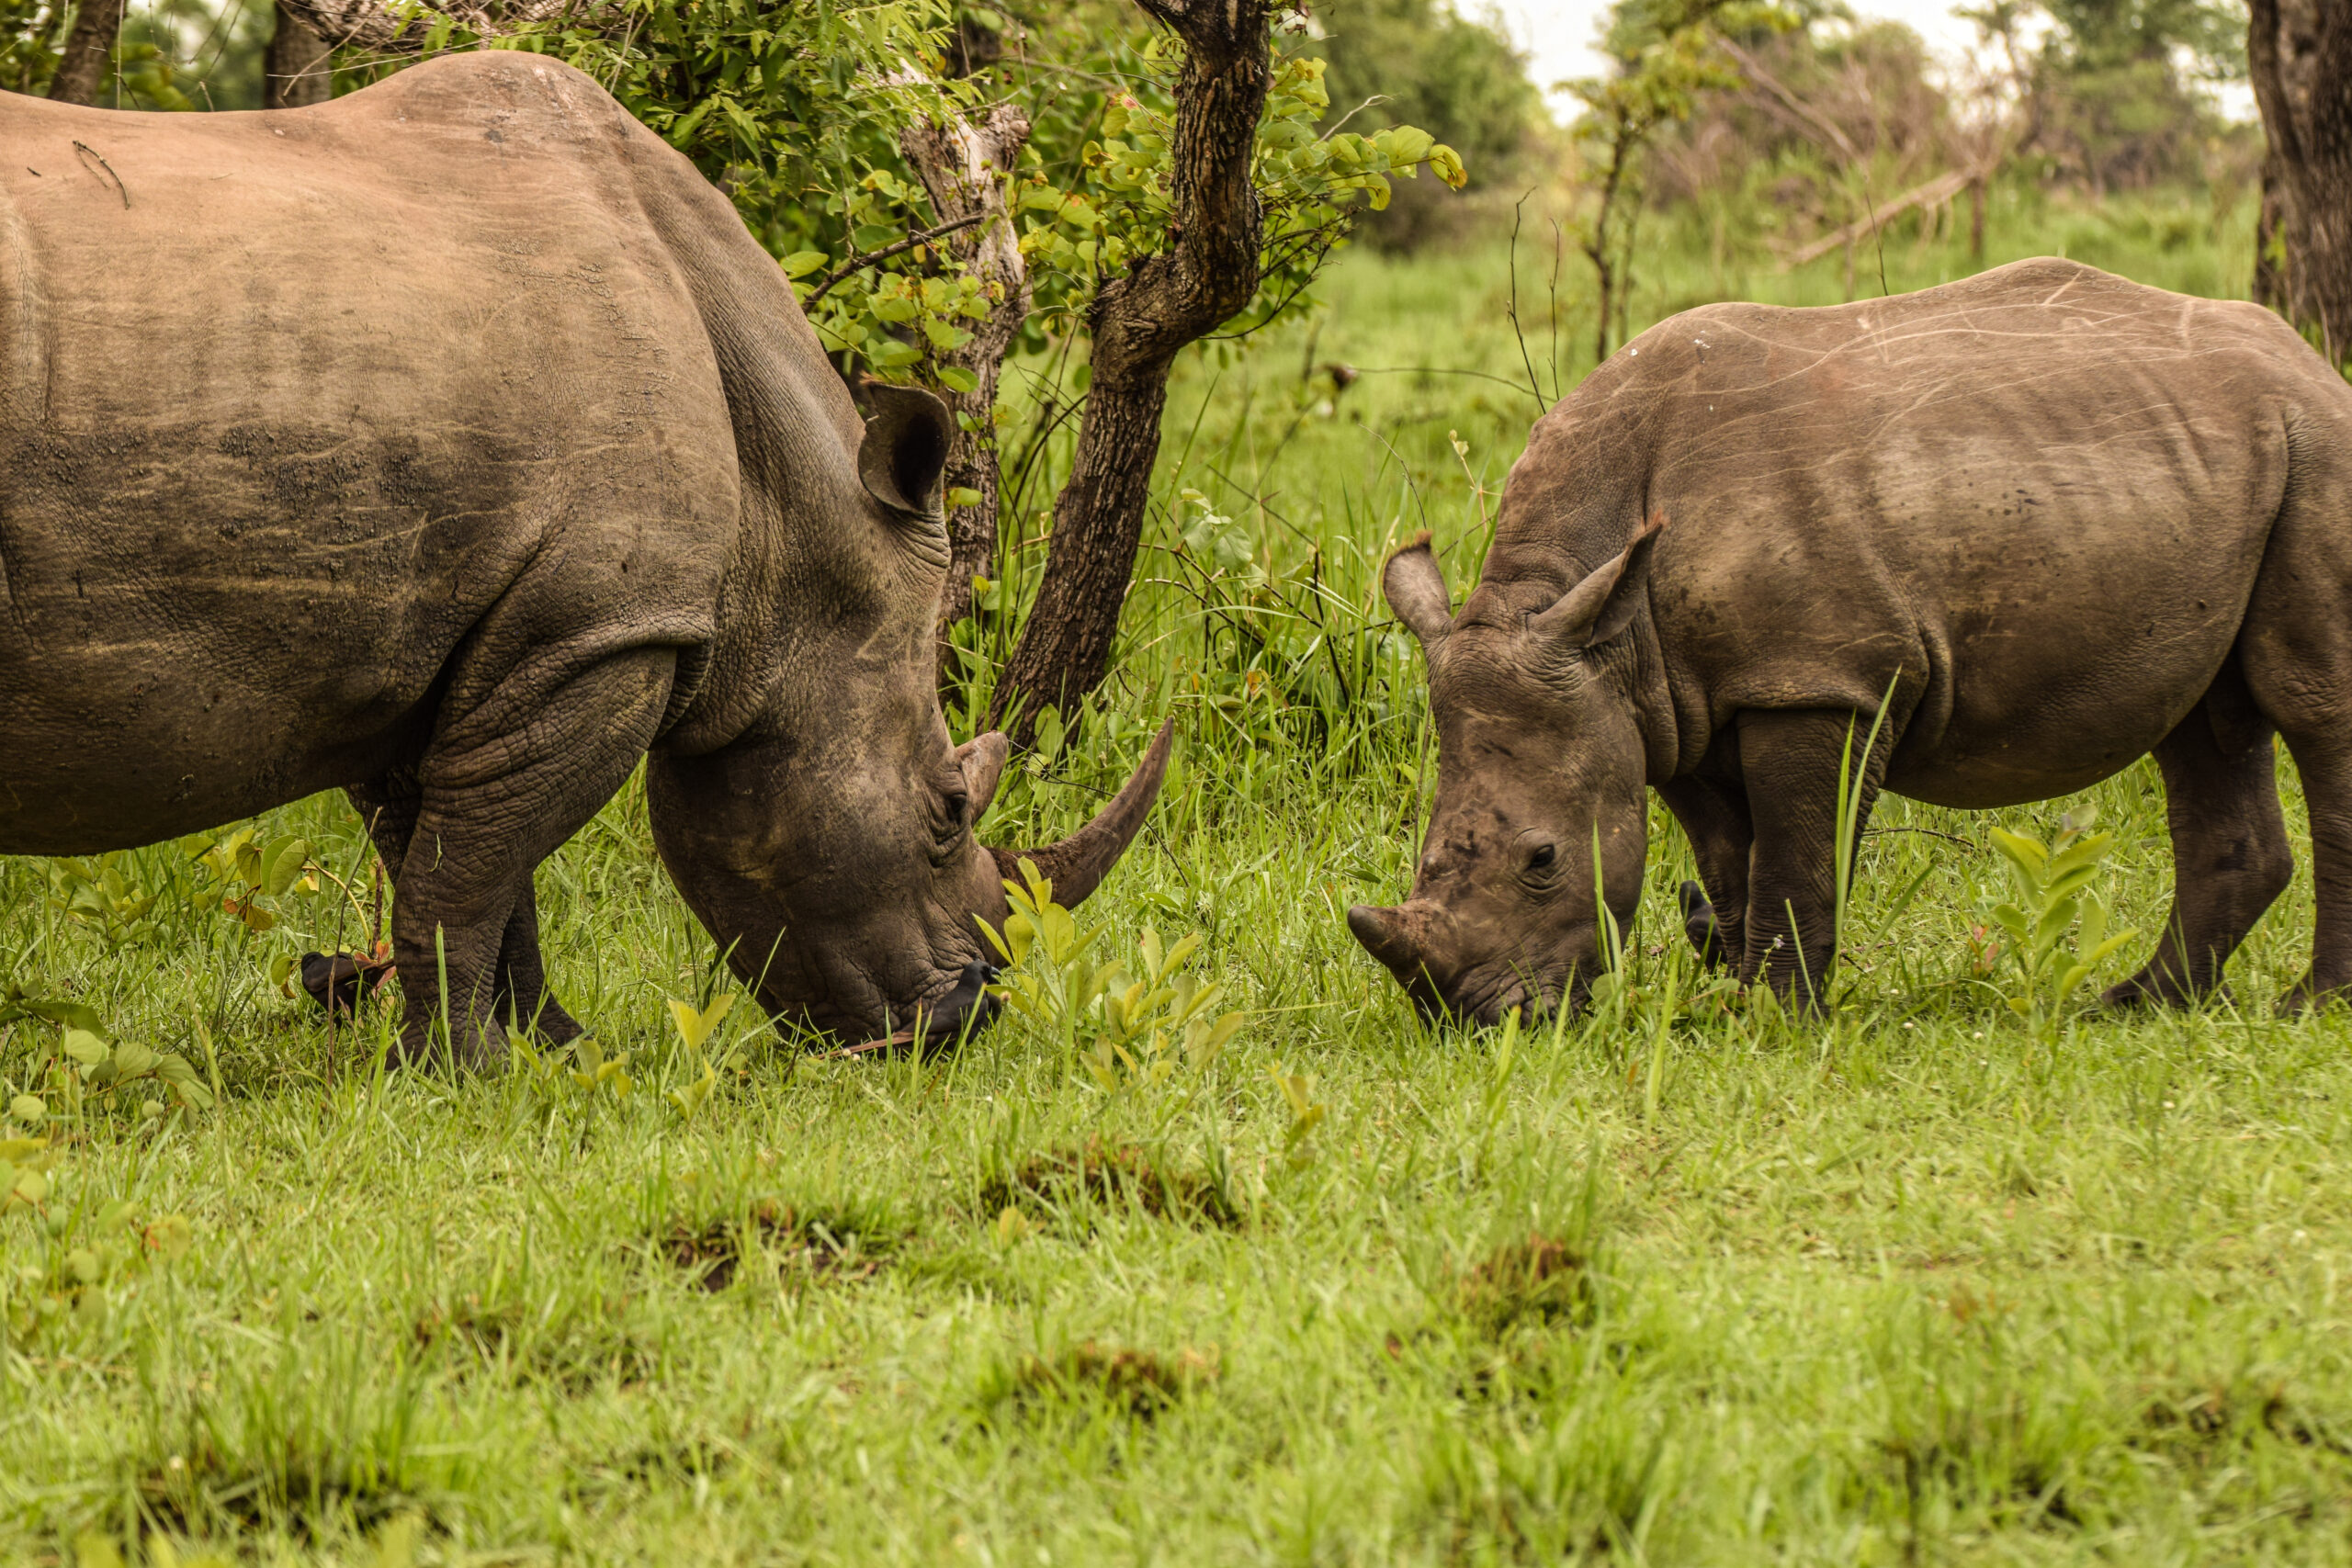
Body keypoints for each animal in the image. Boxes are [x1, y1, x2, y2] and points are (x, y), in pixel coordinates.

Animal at [0, 53, 1170, 1064]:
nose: (964, 1022)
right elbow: (468, 875)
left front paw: (552, 1054)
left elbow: (456, 858)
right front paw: (465, 1072)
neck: (788, 528)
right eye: (946, 811)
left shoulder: (454, 640)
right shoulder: (598, 633)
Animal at [1350, 258, 2352, 1023]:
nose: (1472, 1020)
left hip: (2319, 451)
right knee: (2203, 720)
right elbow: (1732, 860)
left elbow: (1796, 858)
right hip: (2210, 479)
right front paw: (1736, 999)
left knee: (2310, 703)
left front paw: (1775, 1022)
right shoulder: (1666, 705)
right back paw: (2136, 1007)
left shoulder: (1819, 679)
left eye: (1542, 860)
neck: (1588, 612)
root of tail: (2311, 362)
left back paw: (2309, 1010)